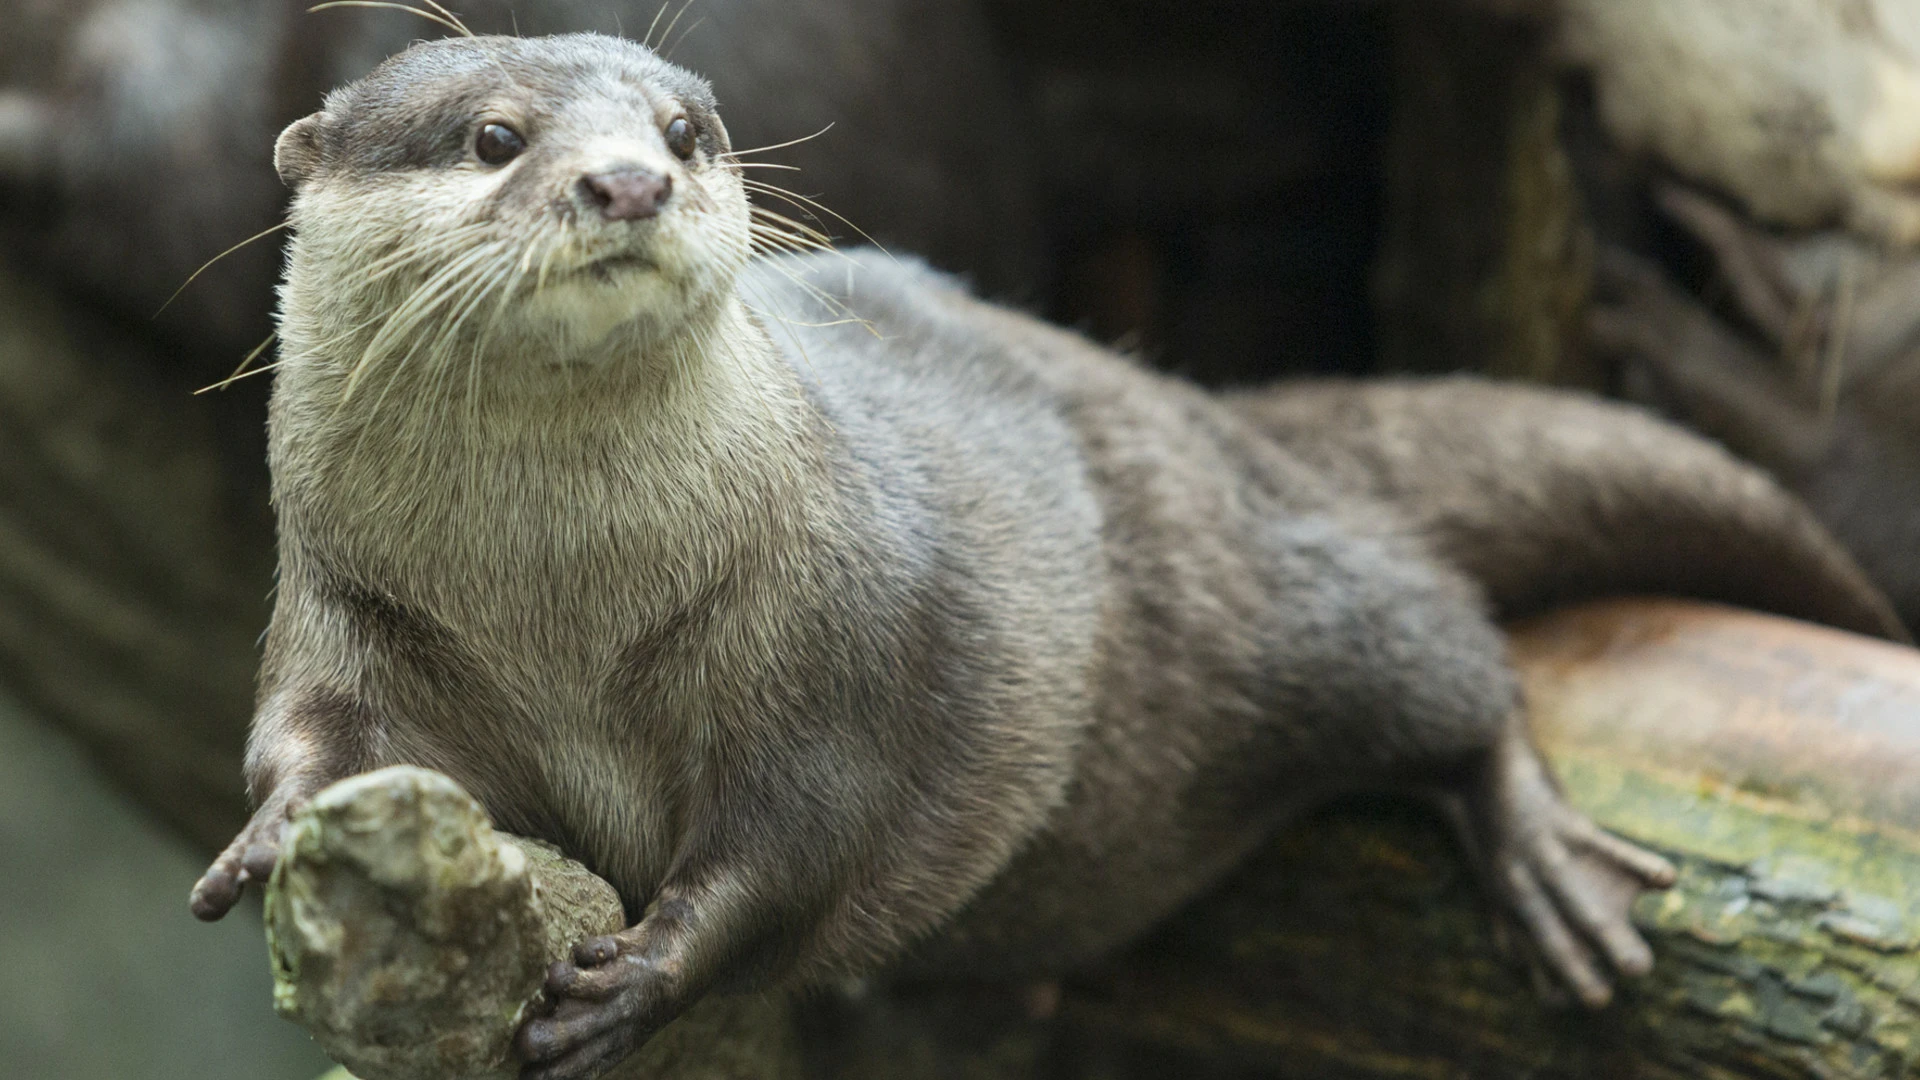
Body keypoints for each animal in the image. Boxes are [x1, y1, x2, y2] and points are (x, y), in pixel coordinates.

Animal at [187, 33, 1896, 1076]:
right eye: (495, 135)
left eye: (684, 129)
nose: (630, 180)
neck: (567, 610)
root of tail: (1194, 403)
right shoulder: (348, 605)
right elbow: (311, 736)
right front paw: (273, 837)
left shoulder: (834, 639)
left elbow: (797, 846)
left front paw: (641, 977)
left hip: (1277, 593)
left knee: (1448, 660)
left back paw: (1542, 859)